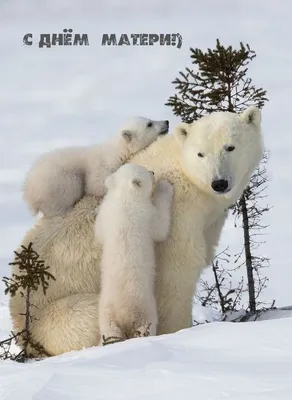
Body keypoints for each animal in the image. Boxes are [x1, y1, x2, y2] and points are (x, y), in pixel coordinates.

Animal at [22, 116, 169, 216]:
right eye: (149, 124)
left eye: (149, 119)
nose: (166, 122)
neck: (117, 150)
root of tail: (28, 194)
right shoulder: (103, 164)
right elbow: (95, 184)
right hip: (58, 181)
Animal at [95, 162, 173, 344]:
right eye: (145, 170)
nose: (153, 172)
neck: (125, 198)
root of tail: (123, 314)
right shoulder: (146, 215)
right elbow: (161, 228)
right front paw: (164, 186)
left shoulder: (107, 214)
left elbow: (98, 232)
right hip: (145, 307)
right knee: (147, 325)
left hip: (105, 312)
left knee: (109, 330)